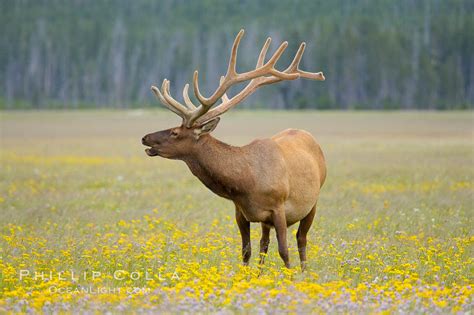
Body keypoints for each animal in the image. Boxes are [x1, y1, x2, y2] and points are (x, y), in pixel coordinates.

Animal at [141, 29, 326, 270]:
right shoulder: (241, 212)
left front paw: (291, 276)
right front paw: (246, 276)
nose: (145, 137)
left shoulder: (279, 208)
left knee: (301, 240)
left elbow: (284, 251)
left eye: (174, 132)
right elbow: (246, 251)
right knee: (264, 243)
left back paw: (304, 272)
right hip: (267, 221)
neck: (245, 184)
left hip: (312, 202)